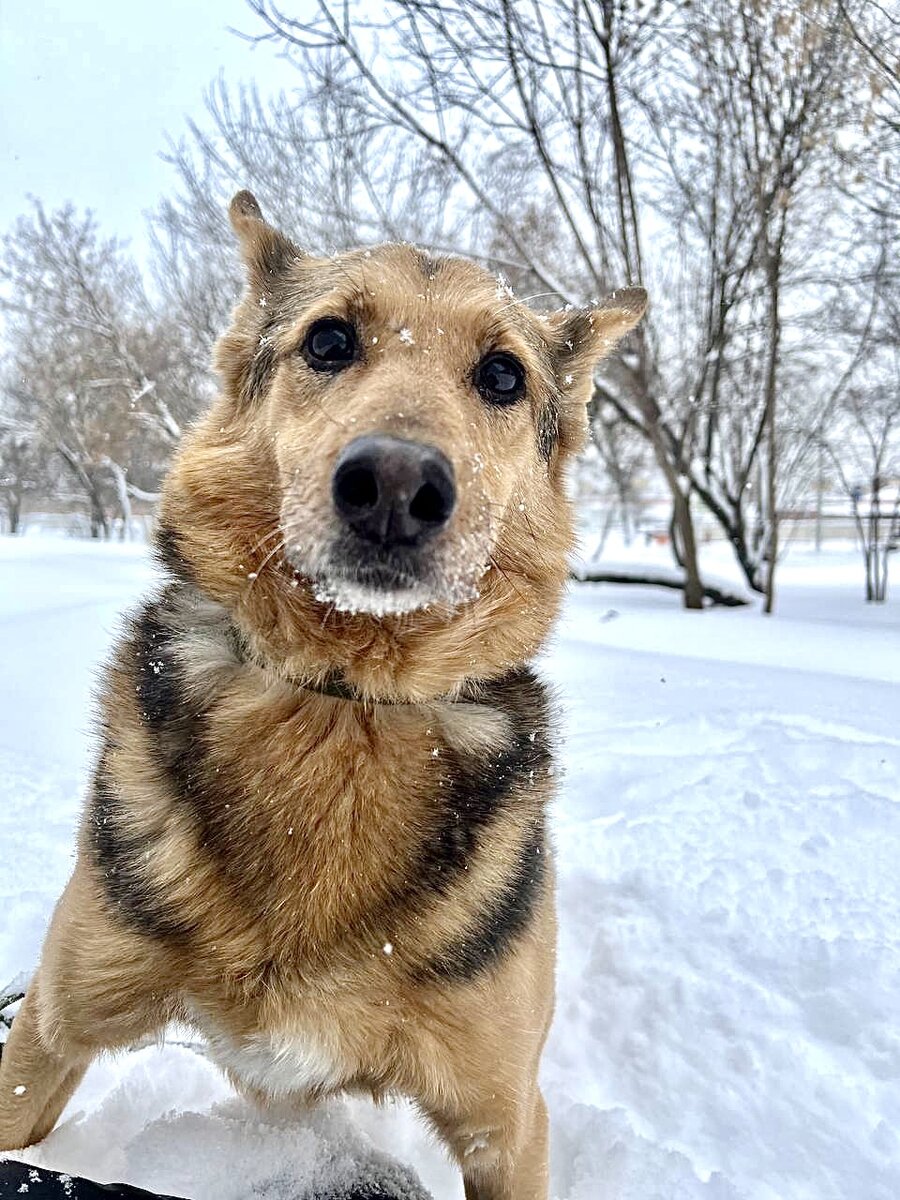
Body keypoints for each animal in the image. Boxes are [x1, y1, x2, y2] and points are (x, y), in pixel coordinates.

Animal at [0, 192, 648, 1195]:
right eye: (330, 340)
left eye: (502, 375)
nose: (396, 485)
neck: (344, 701)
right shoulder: (47, 1028)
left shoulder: (508, 1124)